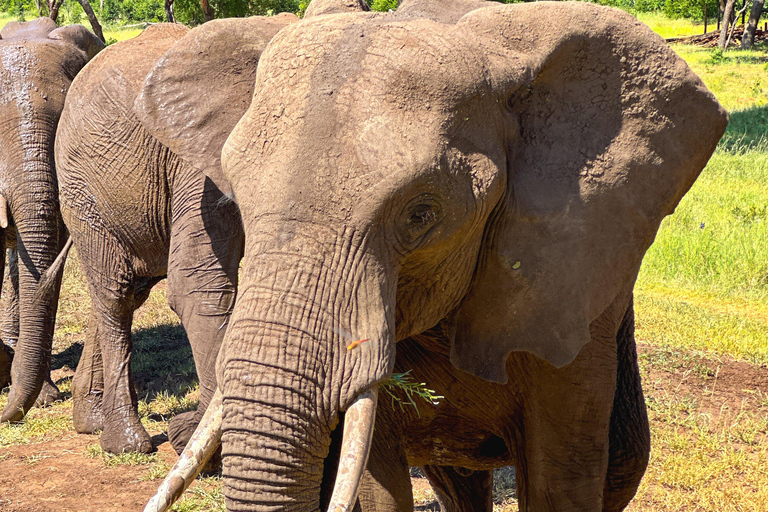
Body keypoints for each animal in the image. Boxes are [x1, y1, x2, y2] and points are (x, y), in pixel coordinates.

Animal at [52, 15, 298, 456]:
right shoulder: (198, 163)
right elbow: (198, 284)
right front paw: (200, 444)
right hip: (81, 190)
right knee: (114, 294)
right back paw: (126, 443)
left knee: (123, 290)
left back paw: (91, 422)